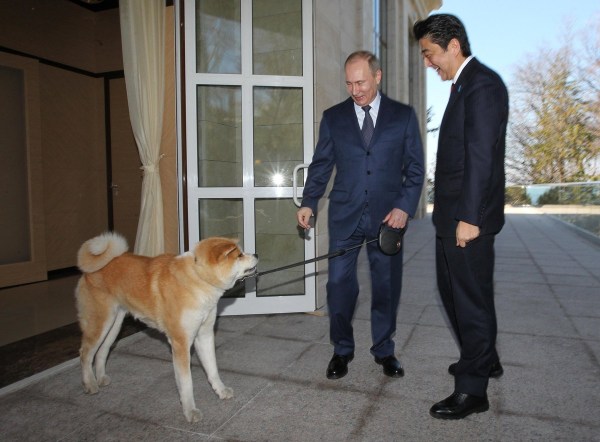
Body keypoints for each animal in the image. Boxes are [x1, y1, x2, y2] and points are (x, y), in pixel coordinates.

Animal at [75, 232, 258, 422]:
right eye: (239, 255)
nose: (256, 255)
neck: (198, 278)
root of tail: (89, 271)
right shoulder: (181, 343)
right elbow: (186, 383)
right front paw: (190, 411)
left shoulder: (204, 335)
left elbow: (213, 369)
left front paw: (221, 391)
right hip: (100, 322)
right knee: (85, 353)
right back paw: (90, 384)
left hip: (114, 324)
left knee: (102, 351)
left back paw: (101, 378)